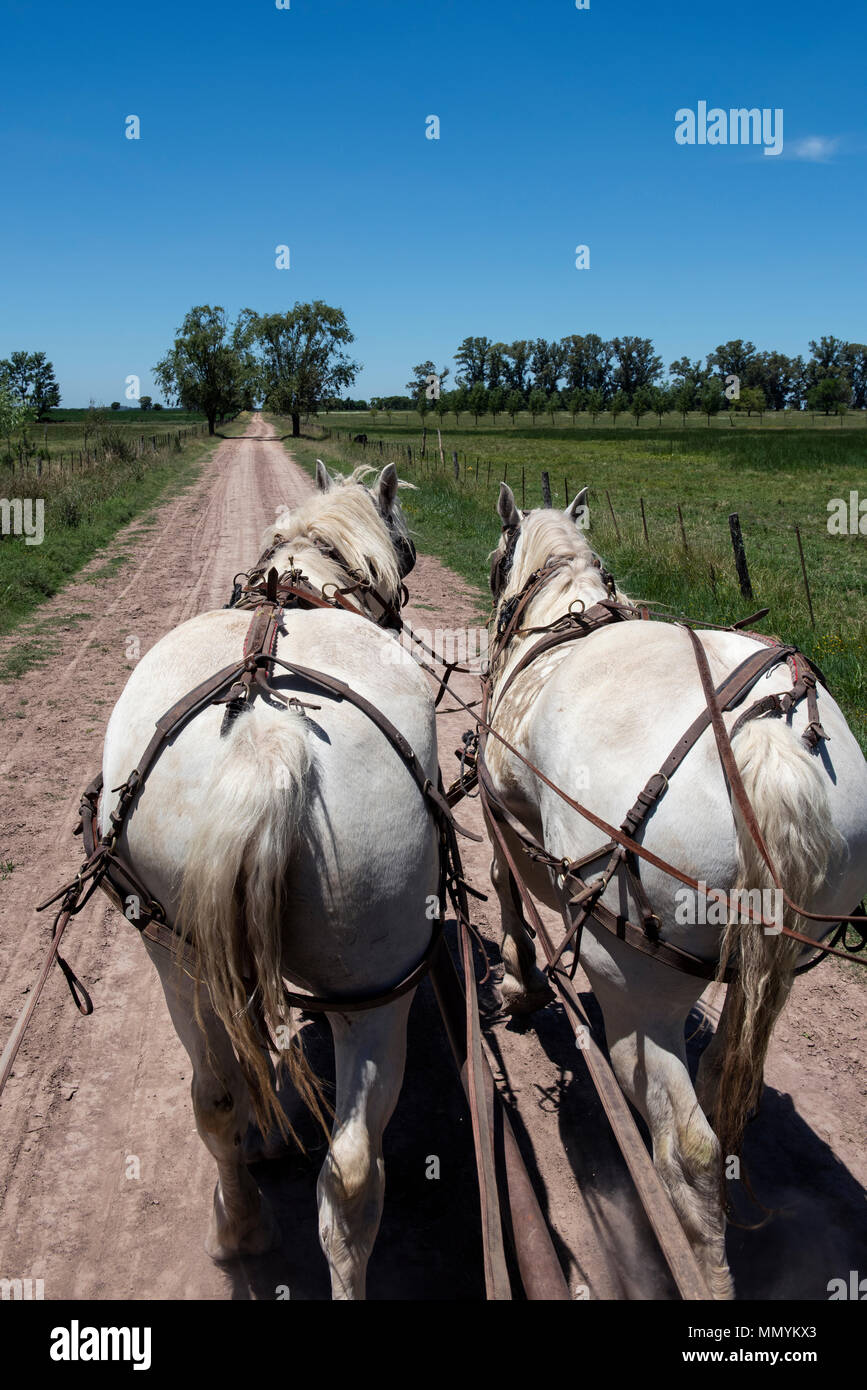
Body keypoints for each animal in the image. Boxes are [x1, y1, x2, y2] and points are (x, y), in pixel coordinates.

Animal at [99, 461, 439, 1299]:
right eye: (407, 550)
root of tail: (268, 735)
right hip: (377, 984)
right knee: (351, 1168)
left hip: (176, 952)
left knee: (216, 1099)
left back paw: (240, 1226)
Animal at [483, 482, 867, 1299]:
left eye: (498, 564)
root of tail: (766, 738)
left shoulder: (501, 817)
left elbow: (506, 892)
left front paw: (521, 984)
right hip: (778, 963)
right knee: (723, 1101)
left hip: (633, 976)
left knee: (684, 1144)